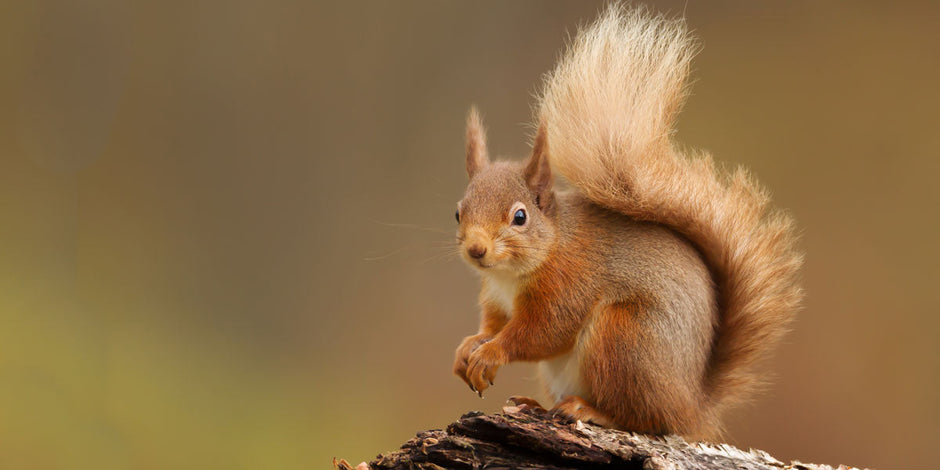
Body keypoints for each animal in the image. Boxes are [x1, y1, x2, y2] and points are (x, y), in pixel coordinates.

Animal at [451, 4, 803, 440]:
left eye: (520, 216)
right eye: (458, 212)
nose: (476, 249)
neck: (514, 273)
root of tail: (693, 406)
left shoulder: (569, 284)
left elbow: (543, 332)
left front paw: (492, 352)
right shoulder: (497, 299)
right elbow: (494, 324)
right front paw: (469, 346)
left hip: (624, 338)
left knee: (644, 418)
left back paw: (590, 411)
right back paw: (536, 404)